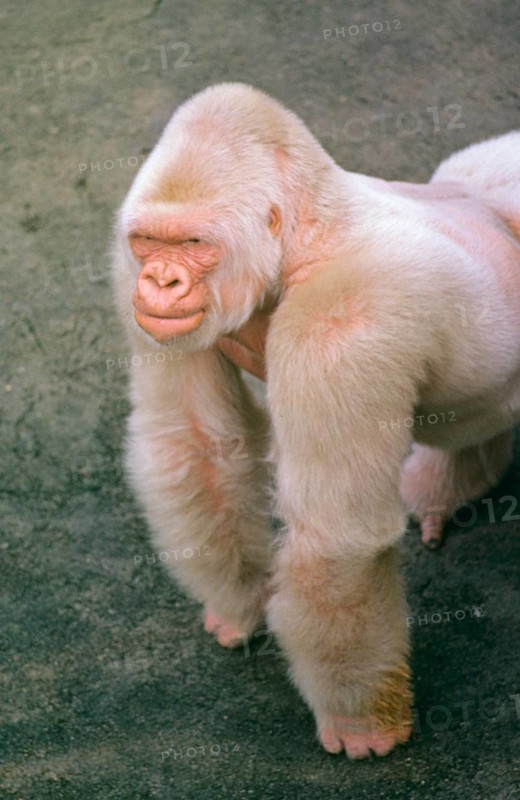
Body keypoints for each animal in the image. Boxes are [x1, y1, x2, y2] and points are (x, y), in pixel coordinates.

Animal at [112, 83, 520, 758]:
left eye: (194, 245)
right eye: (150, 241)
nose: (161, 281)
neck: (306, 236)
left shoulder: (344, 324)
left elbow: (336, 539)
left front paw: (360, 718)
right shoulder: (126, 275)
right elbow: (195, 443)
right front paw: (239, 604)